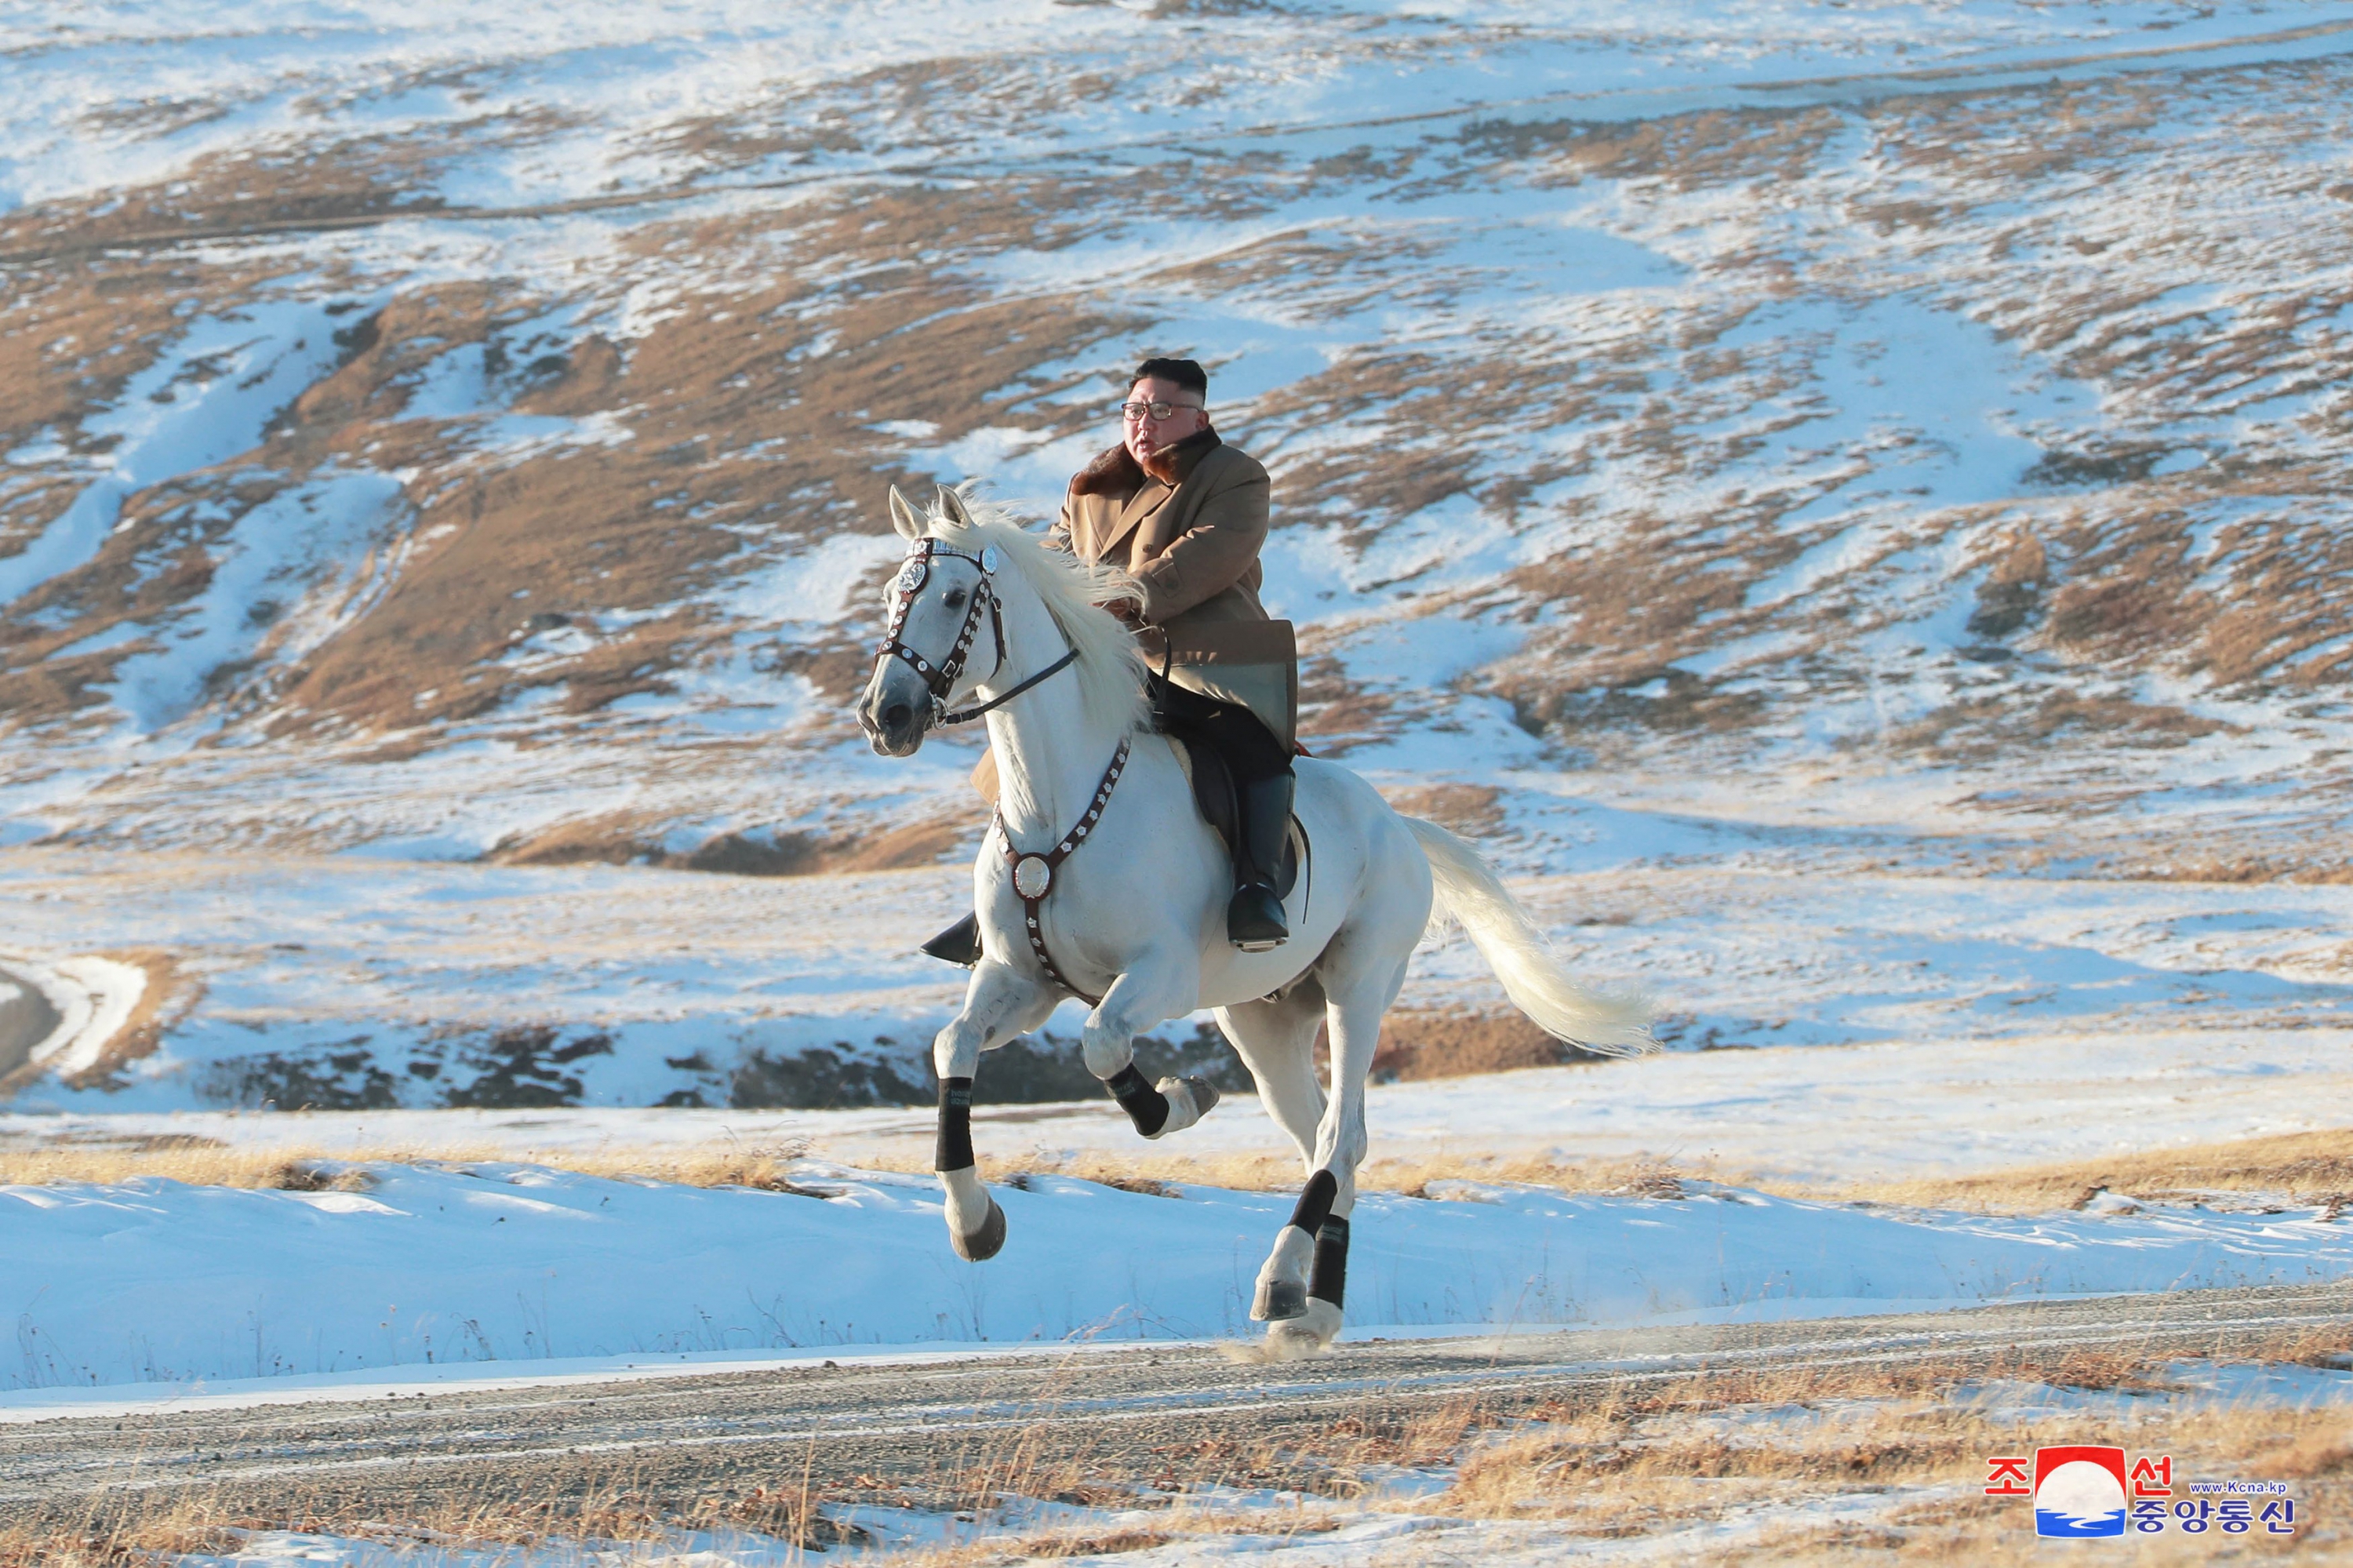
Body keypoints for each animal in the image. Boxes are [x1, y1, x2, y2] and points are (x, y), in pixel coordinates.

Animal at [856, 485, 1647, 1355]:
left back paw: (1281, 1284)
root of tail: (1400, 824)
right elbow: (953, 1045)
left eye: (954, 597)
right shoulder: (1021, 980)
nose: (886, 715)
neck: (1057, 802)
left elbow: (1102, 1044)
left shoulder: (1159, 975)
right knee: (1324, 1141)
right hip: (1262, 1021)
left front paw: (1178, 1101)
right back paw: (1314, 1305)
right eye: (892, 595)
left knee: (1340, 1136)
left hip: (1358, 984)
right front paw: (974, 1222)